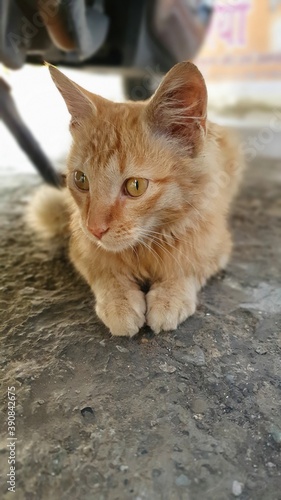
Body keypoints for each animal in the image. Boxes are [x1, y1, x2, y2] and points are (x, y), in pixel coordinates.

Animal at [27, 61, 243, 336]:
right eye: (81, 179)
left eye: (135, 186)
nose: (94, 229)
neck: (145, 247)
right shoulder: (81, 249)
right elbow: (105, 273)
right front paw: (119, 303)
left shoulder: (217, 246)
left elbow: (187, 267)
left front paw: (170, 296)